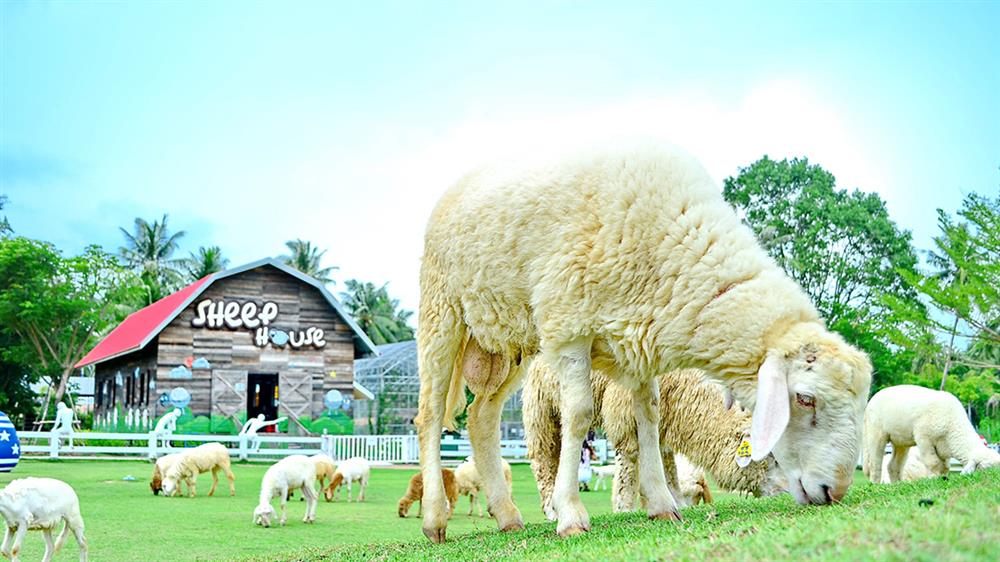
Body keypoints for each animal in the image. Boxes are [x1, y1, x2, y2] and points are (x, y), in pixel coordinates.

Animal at [520, 364, 784, 516]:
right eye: (772, 458)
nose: (783, 494)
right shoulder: (624, 415)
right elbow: (627, 471)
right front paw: (624, 510)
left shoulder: (662, 424)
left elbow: (667, 467)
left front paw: (673, 501)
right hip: (541, 405)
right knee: (542, 457)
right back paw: (551, 510)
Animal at [860, 384, 1000, 482]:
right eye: (984, 469)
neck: (953, 426)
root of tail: (869, 403)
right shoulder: (923, 438)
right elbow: (933, 463)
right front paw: (933, 479)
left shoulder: (944, 445)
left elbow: (945, 466)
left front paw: (942, 478)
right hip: (875, 432)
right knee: (874, 463)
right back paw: (875, 484)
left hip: (900, 440)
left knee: (893, 465)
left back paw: (897, 484)